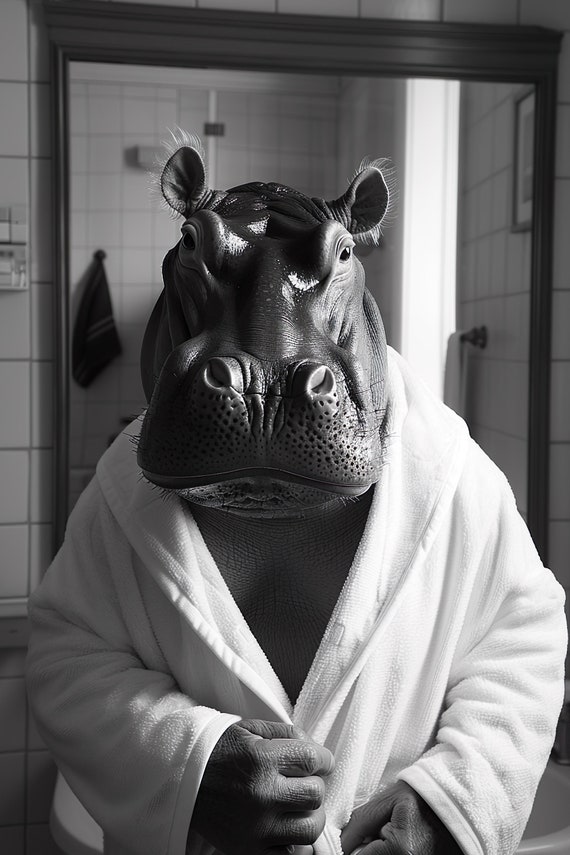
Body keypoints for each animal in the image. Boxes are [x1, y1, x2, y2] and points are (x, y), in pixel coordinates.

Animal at [25, 134, 567, 855]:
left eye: (345, 250)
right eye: (190, 238)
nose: (264, 381)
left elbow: (518, 630)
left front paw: (409, 826)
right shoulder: (79, 608)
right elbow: (76, 658)